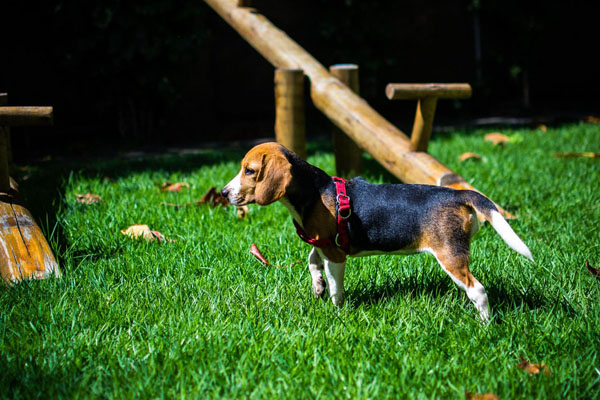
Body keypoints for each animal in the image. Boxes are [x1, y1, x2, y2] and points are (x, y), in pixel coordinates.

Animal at [223, 142, 532, 320]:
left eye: (250, 171)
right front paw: (317, 286)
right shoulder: (322, 243)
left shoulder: (335, 254)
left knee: (477, 290)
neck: (312, 192)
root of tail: (458, 195)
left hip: (450, 255)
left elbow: (335, 284)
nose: (224, 193)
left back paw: (485, 325)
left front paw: (336, 309)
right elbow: (312, 261)